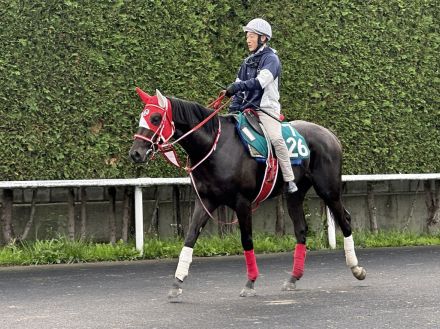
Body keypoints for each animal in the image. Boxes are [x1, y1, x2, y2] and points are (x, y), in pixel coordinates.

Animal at [129, 88, 366, 302]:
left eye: (155, 118)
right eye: (142, 116)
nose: (135, 153)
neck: (215, 147)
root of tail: (330, 135)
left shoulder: (242, 202)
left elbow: (247, 239)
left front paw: (250, 283)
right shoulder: (205, 201)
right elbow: (190, 237)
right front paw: (177, 283)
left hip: (328, 189)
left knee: (345, 219)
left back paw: (356, 268)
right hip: (294, 195)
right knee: (301, 228)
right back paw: (293, 278)